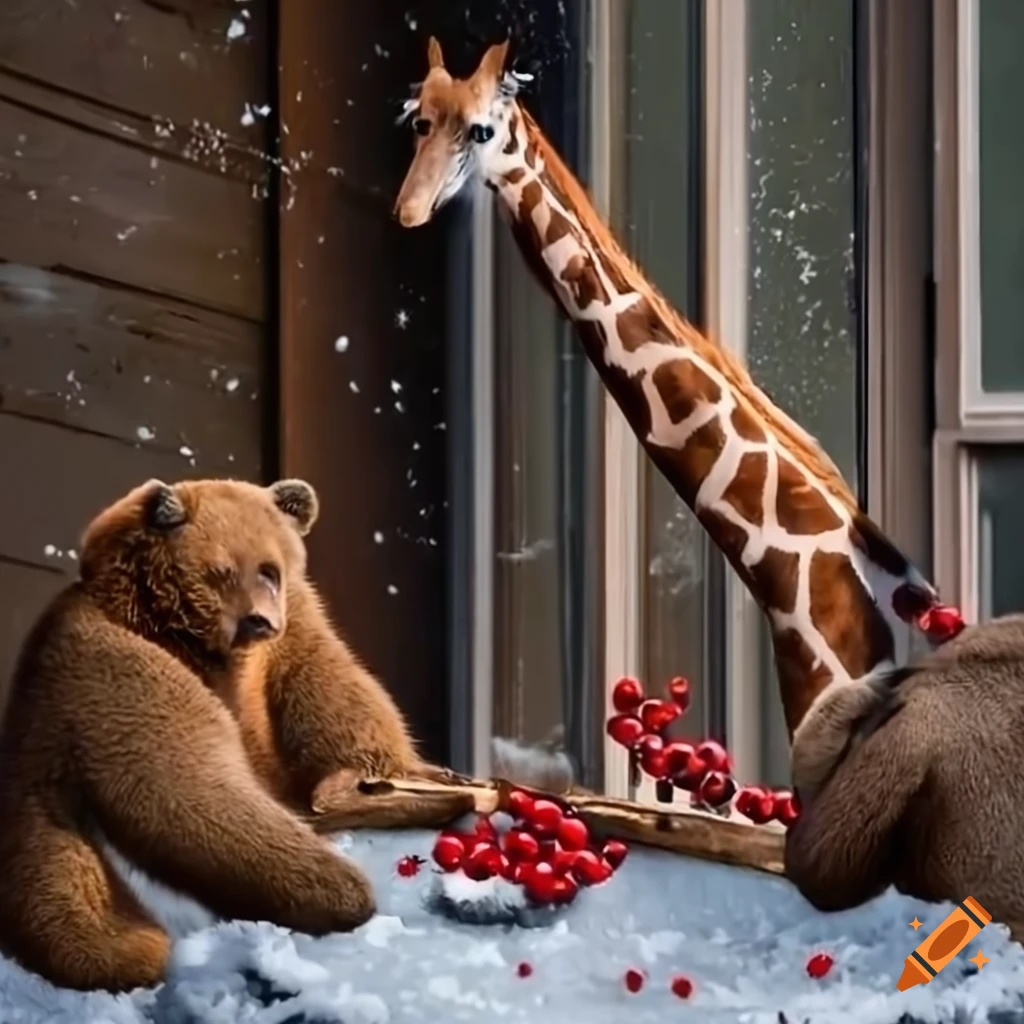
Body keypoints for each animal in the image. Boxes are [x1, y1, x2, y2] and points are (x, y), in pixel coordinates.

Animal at [0, 477, 466, 993]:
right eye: (219, 570)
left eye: (270, 570)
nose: (258, 620)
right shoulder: (120, 669)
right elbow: (189, 787)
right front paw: (339, 886)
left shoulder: (293, 634)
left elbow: (334, 693)